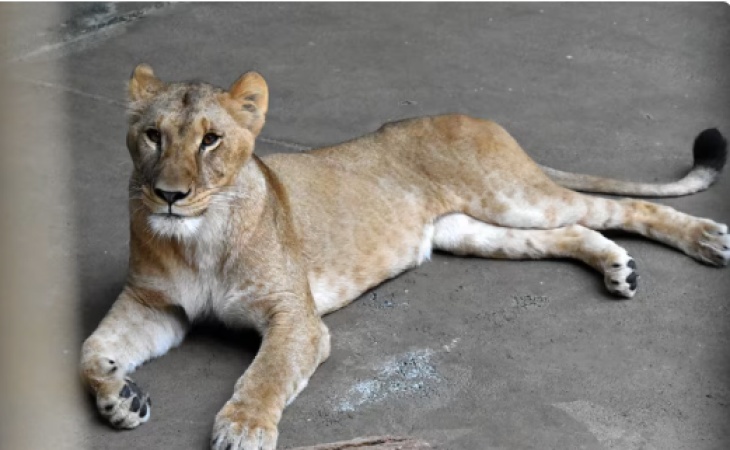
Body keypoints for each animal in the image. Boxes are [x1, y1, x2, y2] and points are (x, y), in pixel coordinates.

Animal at [80, 64, 729, 450]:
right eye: (154, 135)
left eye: (211, 140)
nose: (169, 194)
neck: (199, 236)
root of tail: (474, 116)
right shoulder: (155, 305)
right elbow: (91, 352)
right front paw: (121, 398)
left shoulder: (295, 316)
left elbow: (267, 373)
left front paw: (243, 428)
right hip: (472, 230)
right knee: (573, 231)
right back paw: (619, 267)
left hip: (515, 197)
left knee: (616, 205)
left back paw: (707, 240)